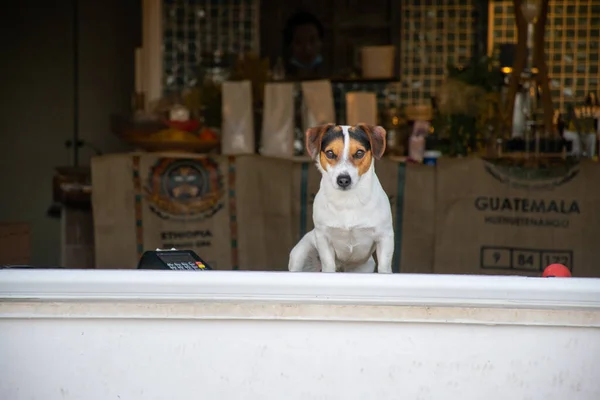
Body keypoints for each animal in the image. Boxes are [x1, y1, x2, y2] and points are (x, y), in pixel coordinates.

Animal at [290, 123, 396, 274]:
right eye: (330, 153)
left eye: (359, 153)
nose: (344, 180)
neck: (348, 201)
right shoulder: (323, 238)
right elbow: (328, 264)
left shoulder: (384, 236)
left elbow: (384, 267)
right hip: (300, 254)